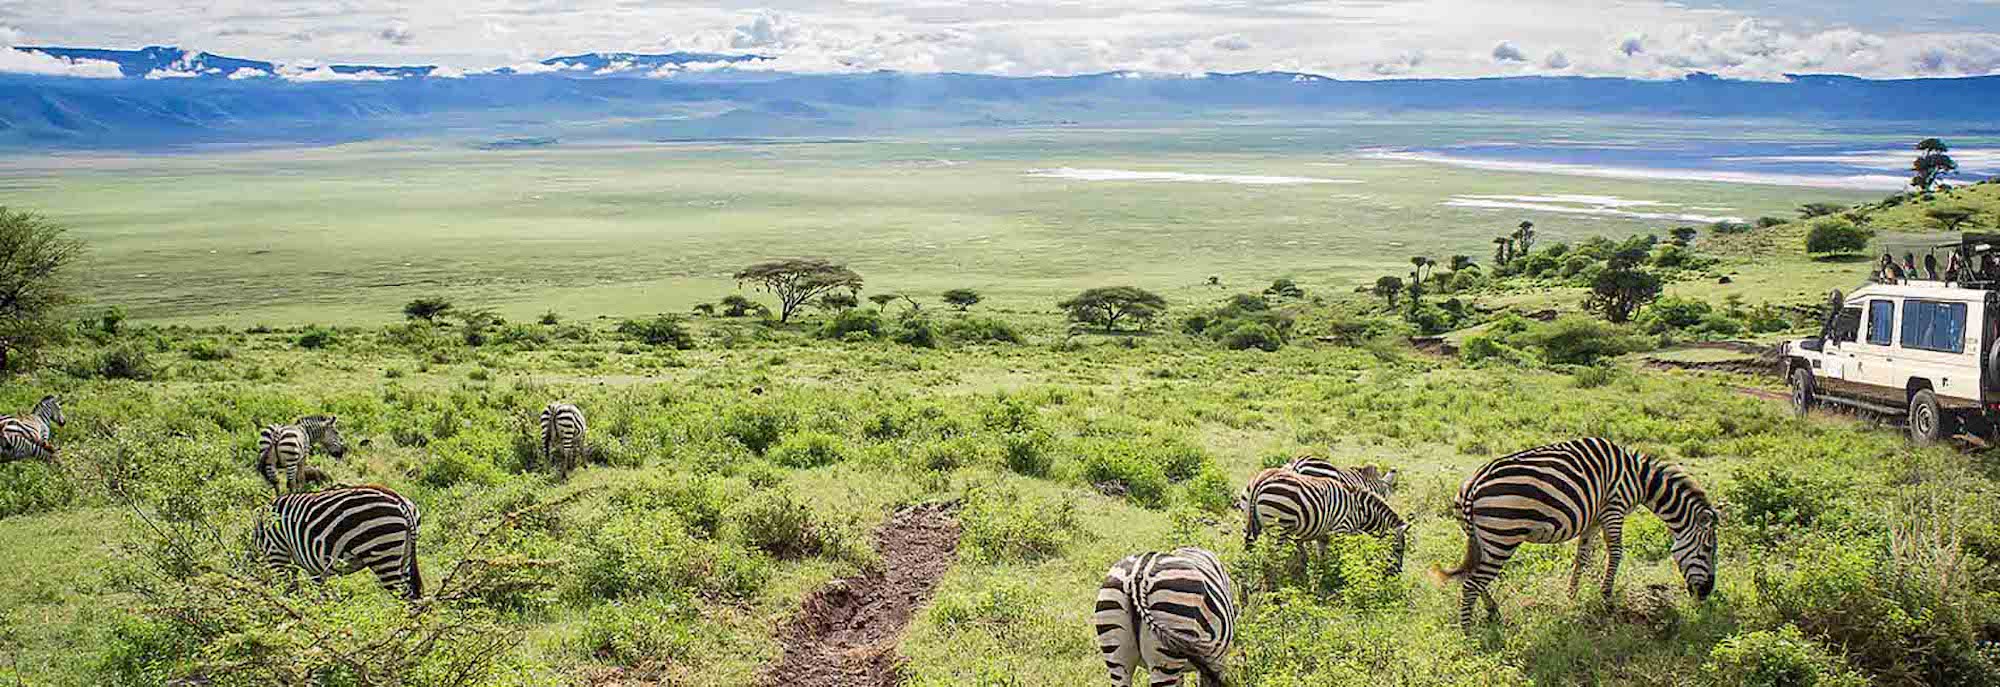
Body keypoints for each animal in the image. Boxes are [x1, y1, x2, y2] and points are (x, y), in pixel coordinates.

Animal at [254, 483, 426, 599]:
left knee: (405, 598)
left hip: (383, 554)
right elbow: (318, 592)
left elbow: (290, 589)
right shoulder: (313, 567)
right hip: (404, 555)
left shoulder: (277, 553)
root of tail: (398, 500)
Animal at [1248, 467, 1408, 575]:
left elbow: (1322, 557)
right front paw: (1342, 573)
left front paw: (1322, 575)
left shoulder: (1323, 534)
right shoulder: (1342, 529)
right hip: (1280, 526)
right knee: (1273, 556)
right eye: (1399, 550)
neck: (1361, 510)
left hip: (1261, 525)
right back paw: (1278, 576)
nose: (1397, 573)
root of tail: (1261, 482)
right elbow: (1342, 555)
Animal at [1432, 437, 1728, 631]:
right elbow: (1616, 552)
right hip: (1501, 538)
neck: (1639, 479)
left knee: (1473, 577)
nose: (1705, 593)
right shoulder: (1614, 507)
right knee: (1471, 583)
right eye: (1708, 550)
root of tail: (1472, 485)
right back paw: (1468, 634)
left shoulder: (1593, 519)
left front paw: (1571, 595)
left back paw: (1493, 612)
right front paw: (1606, 598)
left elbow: (1582, 557)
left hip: (1480, 539)